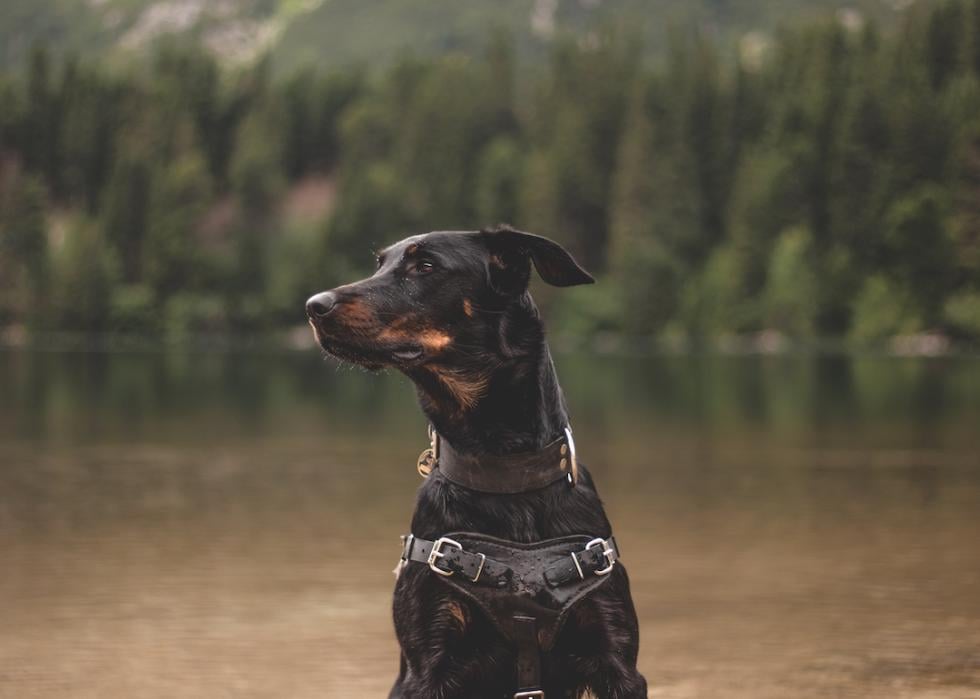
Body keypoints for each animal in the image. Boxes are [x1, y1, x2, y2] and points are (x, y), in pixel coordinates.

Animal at [306, 227, 644, 696]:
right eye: (380, 264)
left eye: (425, 266)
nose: (313, 306)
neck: (505, 471)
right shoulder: (428, 662)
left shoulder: (615, 658)